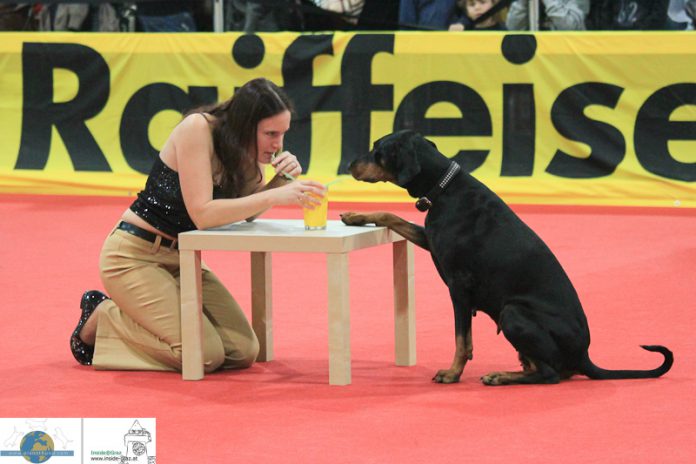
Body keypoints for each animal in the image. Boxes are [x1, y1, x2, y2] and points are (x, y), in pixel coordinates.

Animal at [340, 130, 672, 384]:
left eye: (378, 150)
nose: (349, 164)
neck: (445, 188)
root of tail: (584, 355)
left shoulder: (459, 287)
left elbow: (461, 339)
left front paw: (452, 373)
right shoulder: (429, 239)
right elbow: (390, 214)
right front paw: (355, 215)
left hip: (512, 312)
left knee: (550, 374)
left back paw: (501, 376)